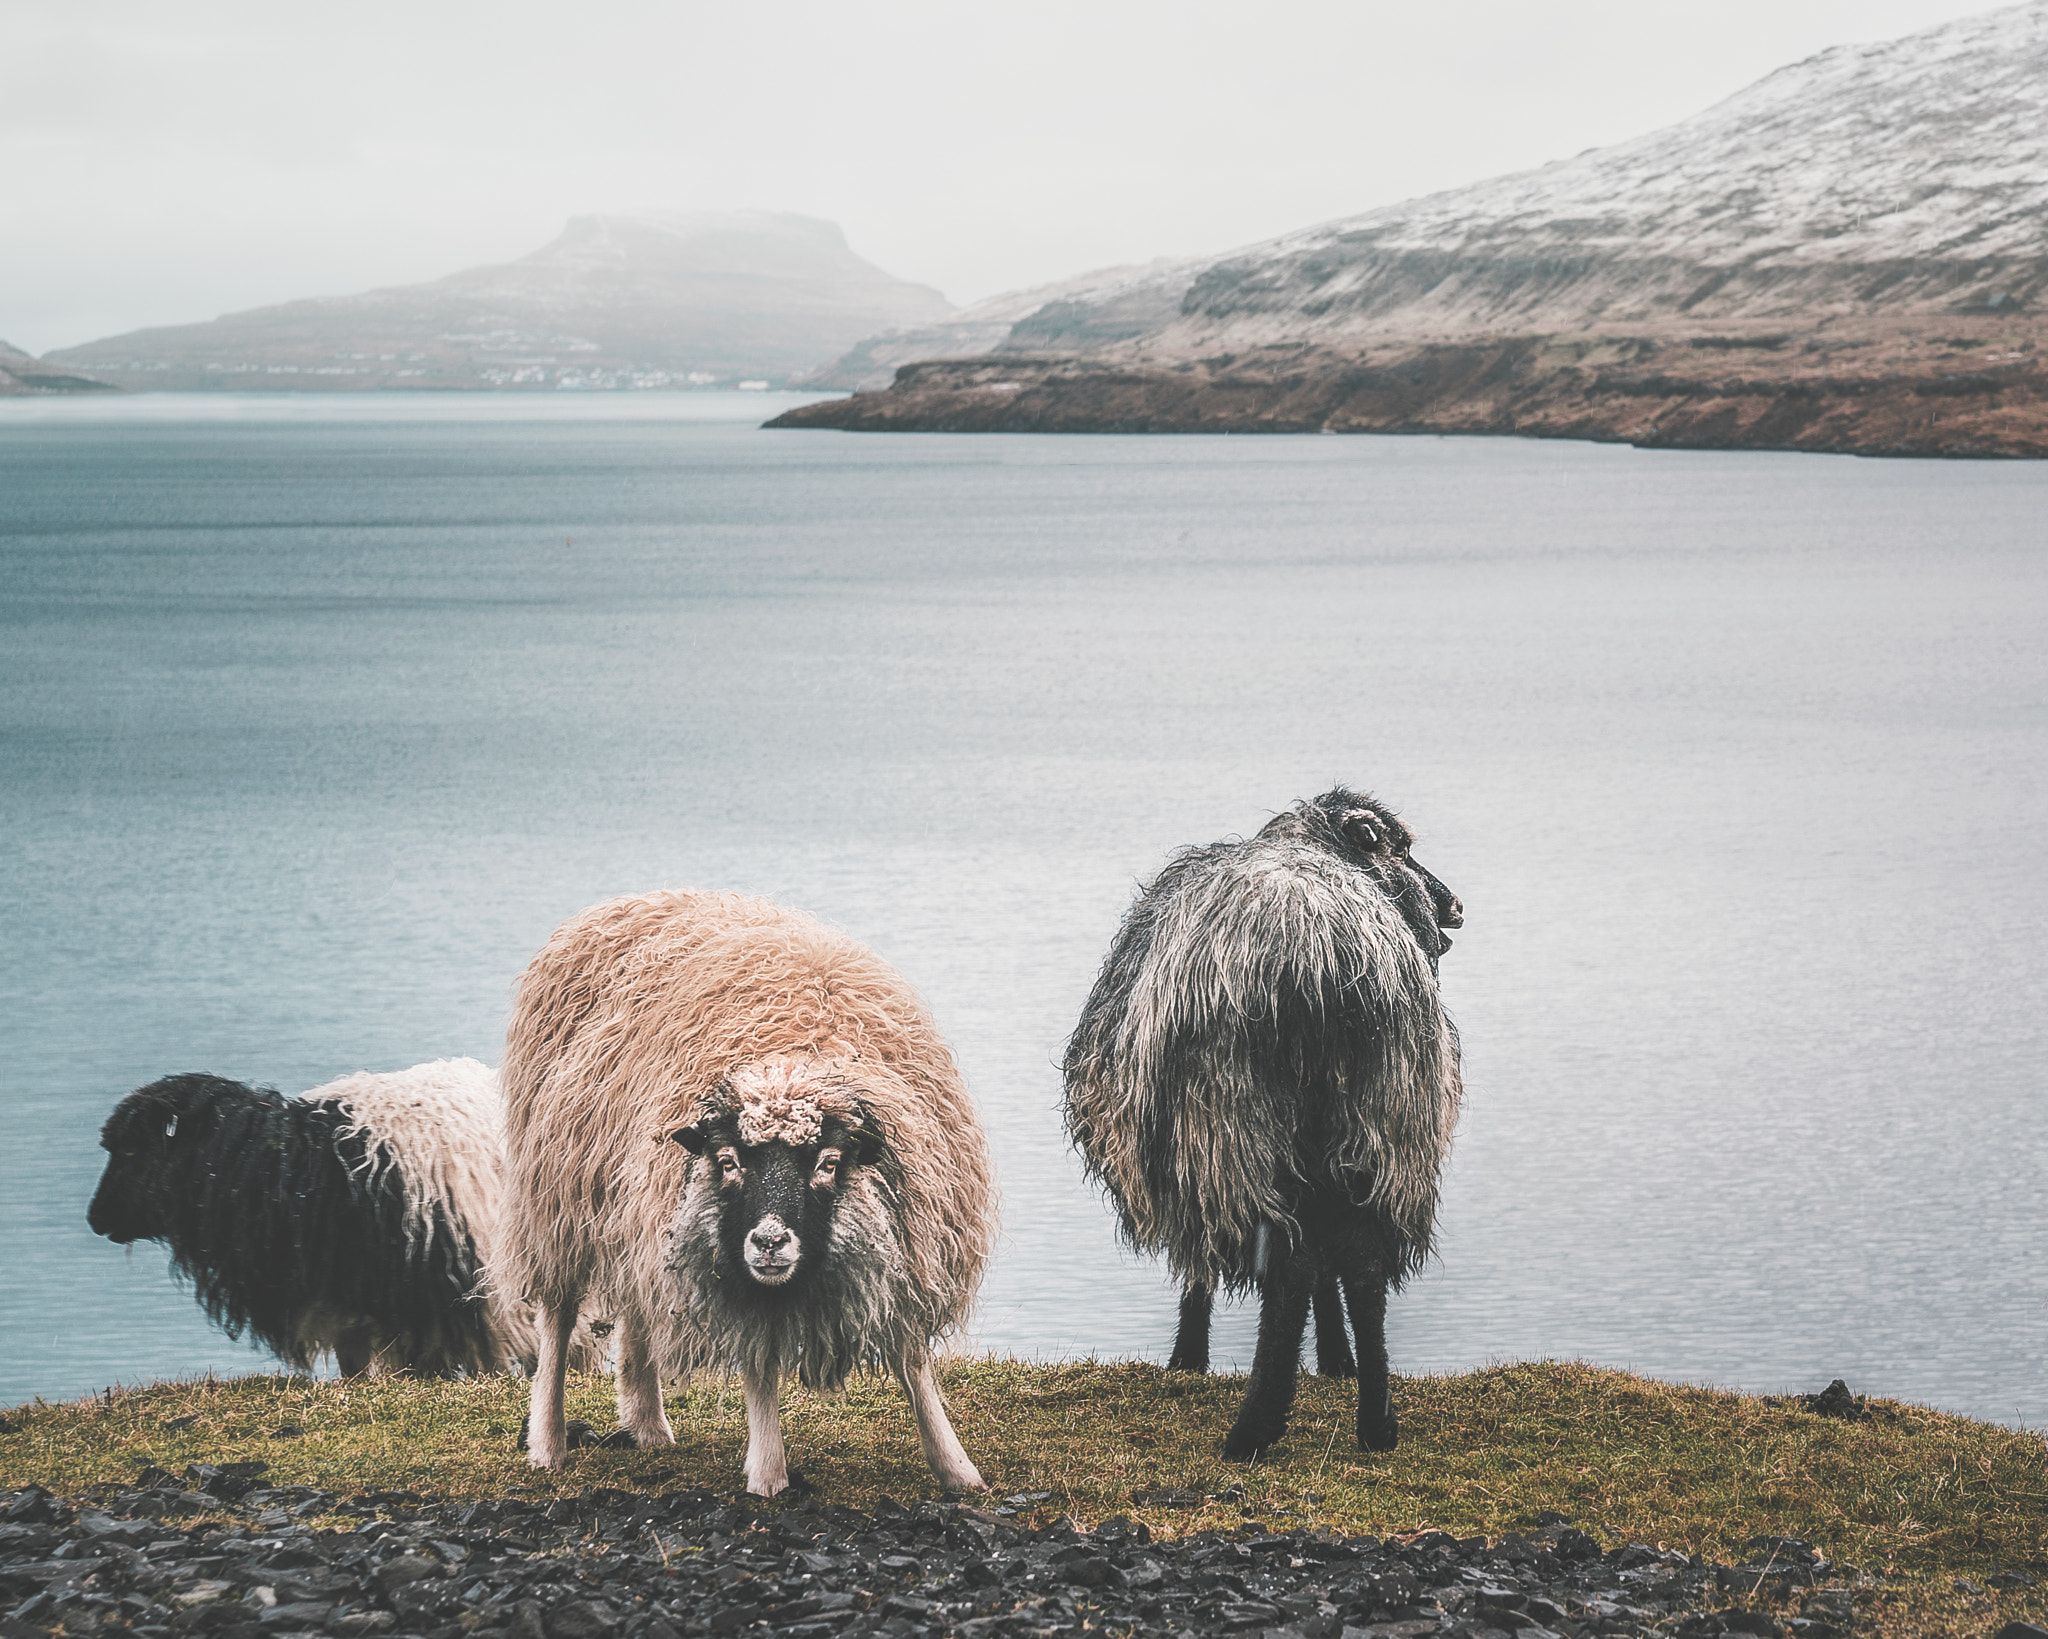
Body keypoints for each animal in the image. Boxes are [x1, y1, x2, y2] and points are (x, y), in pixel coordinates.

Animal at [503, 889, 999, 1491]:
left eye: (829, 1163)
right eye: (728, 1162)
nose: (768, 1242)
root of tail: (632, 898)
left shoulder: (909, 1245)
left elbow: (912, 1361)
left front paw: (956, 1466)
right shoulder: (728, 1265)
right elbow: (760, 1369)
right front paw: (768, 1473)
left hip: (636, 1204)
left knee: (639, 1303)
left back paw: (647, 1422)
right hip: (557, 1190)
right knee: (556, 1317)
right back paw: (548, 1442)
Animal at [1064, 790, 1466, 1458]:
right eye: (1400, 849)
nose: (1455, 907)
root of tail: (1326, 960)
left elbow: (1204, 1262)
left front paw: (1188, 1359)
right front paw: (1335, 1362)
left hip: (1236, 1121)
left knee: (1291, 1266)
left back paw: (1254, 1427)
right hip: (1382, 1115)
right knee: (1360, 1263)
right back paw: (1376, 1423)